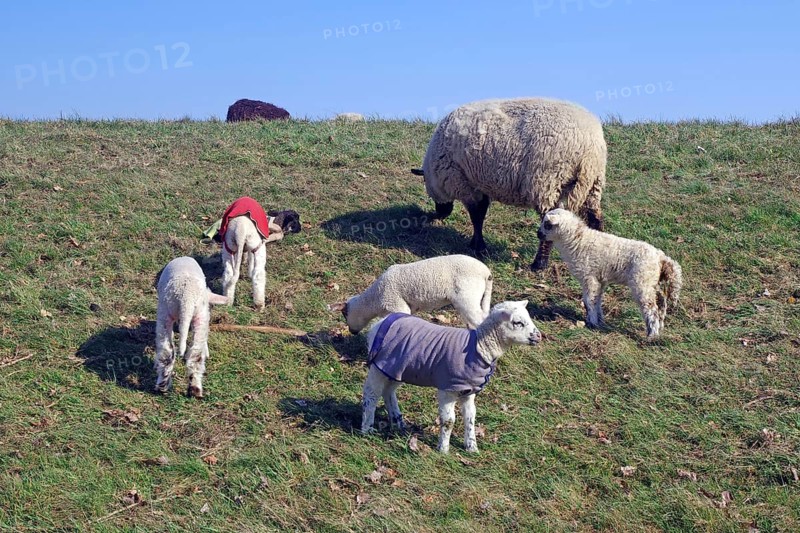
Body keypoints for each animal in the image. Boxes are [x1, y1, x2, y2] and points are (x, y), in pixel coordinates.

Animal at [154, 256, 228, 398]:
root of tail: (186, 297)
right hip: (199, 315)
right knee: (195, 353)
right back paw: (195, 389)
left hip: (166, 312)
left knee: (167, 351)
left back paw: (163, 386)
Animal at [333, 254, 494, 334]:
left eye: (344, 314)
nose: (352, 332)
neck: (373, 300)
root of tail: (486, 272)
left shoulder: (396, 304)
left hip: (467, 295)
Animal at [361, 300, 541, 453]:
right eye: (517, 322)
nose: (539, 336)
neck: (479, 347)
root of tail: (379, 323)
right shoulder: (448, 388)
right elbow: (449, 421)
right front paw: (443, 449)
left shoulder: (469, 390)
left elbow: (470, 417)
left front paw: (472, 447)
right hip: (379, 366)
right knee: (371, 394)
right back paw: (367, 428)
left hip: (396, 369)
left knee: (388, 391)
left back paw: (398, 422)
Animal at [412, 97, 607, 271]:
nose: (440, 213)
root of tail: (590, 148)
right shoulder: (479, 185)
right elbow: (481, 213)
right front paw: (475, 244)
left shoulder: (464, 184)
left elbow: (477, 216)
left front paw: (479, 247)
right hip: (594, 183)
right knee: (595, 218)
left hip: (547, 182)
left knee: (550, 225)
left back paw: (539, 265)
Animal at [537, 208, 683, 338]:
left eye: (547, 224)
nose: (538, 234)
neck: (577, 241)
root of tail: (661, 257)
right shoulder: (599, 279)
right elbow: (597, 299)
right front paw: (599, 321)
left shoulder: (590, 277)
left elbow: (589, 300)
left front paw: (592, 323)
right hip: (652, 281)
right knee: (661, 302)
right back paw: (660, 328)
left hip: (642, 281)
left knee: (651, 307)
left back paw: (652, 335)